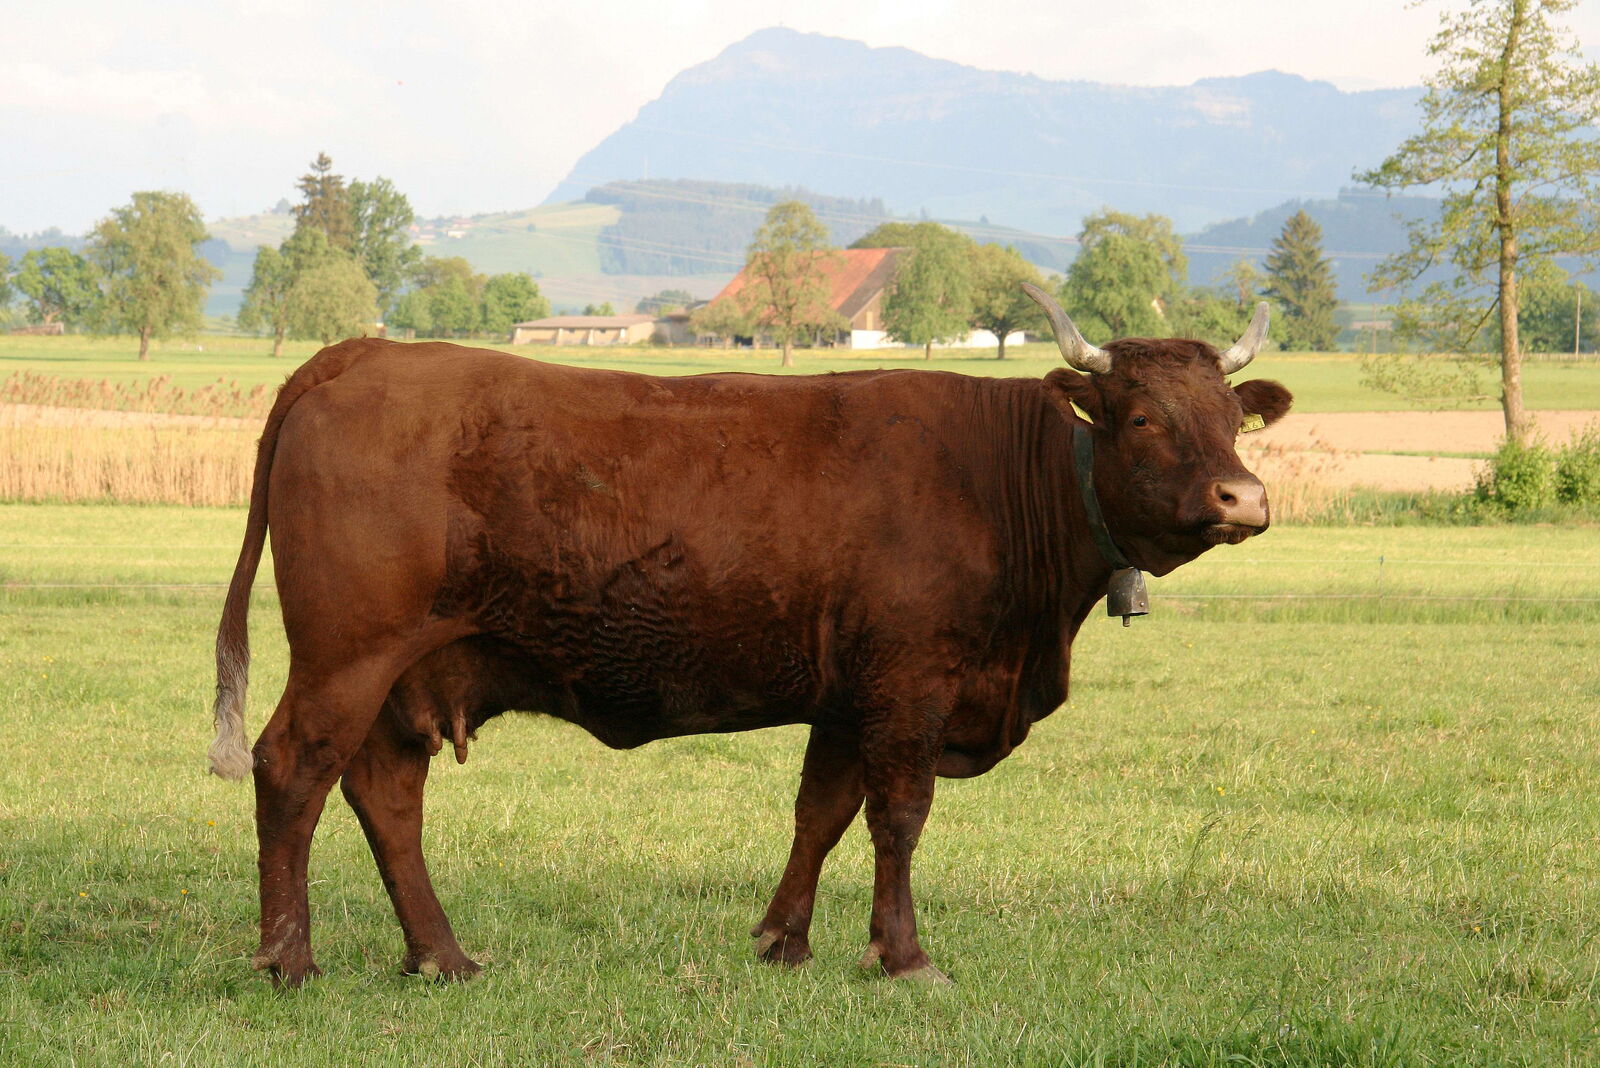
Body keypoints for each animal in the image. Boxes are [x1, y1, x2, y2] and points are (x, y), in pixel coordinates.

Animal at [208, 284, 1293, 987]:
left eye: (1234, 419)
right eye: (1144, 418)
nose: (1244, 497)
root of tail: (365, 351)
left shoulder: (850, 696)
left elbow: (823, 812)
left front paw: (784, 942)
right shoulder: (910, 685)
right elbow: (899, 817)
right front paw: (904, 959)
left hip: (404, 676)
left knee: (386, 796)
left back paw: (442, 956)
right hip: (348, 656)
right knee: (292, 770)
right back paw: (288, 959)